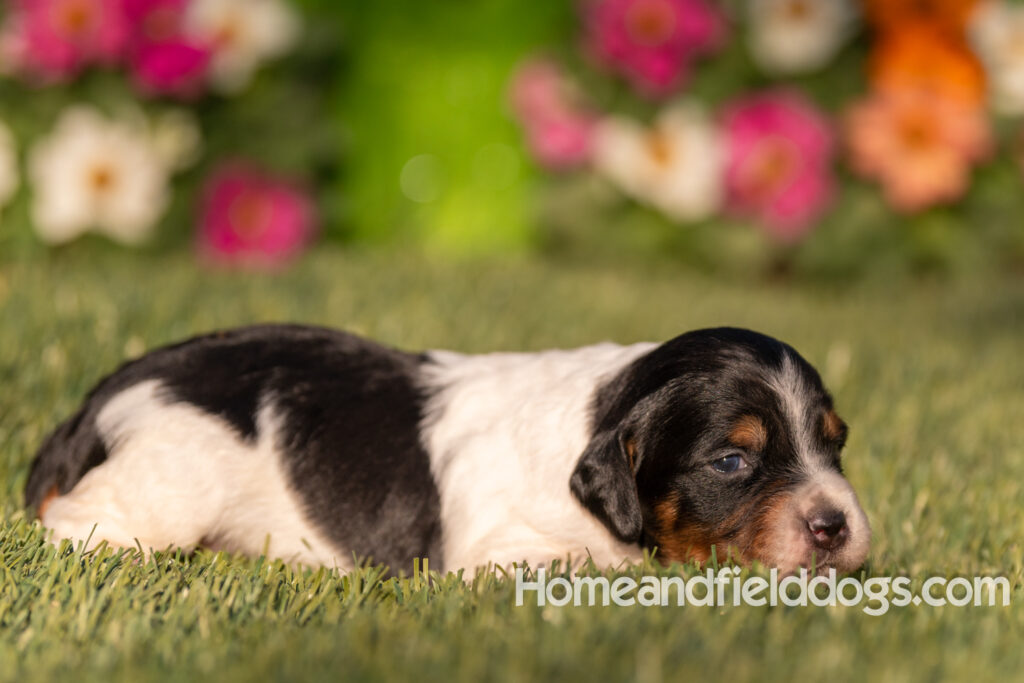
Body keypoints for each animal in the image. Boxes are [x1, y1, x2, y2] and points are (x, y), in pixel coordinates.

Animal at [24, 327, 868, 573]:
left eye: (836, 444)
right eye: (732, 461)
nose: (836, 527)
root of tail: (103, 396)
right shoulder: (501, 556)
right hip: (164, 483)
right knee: (77, 524)